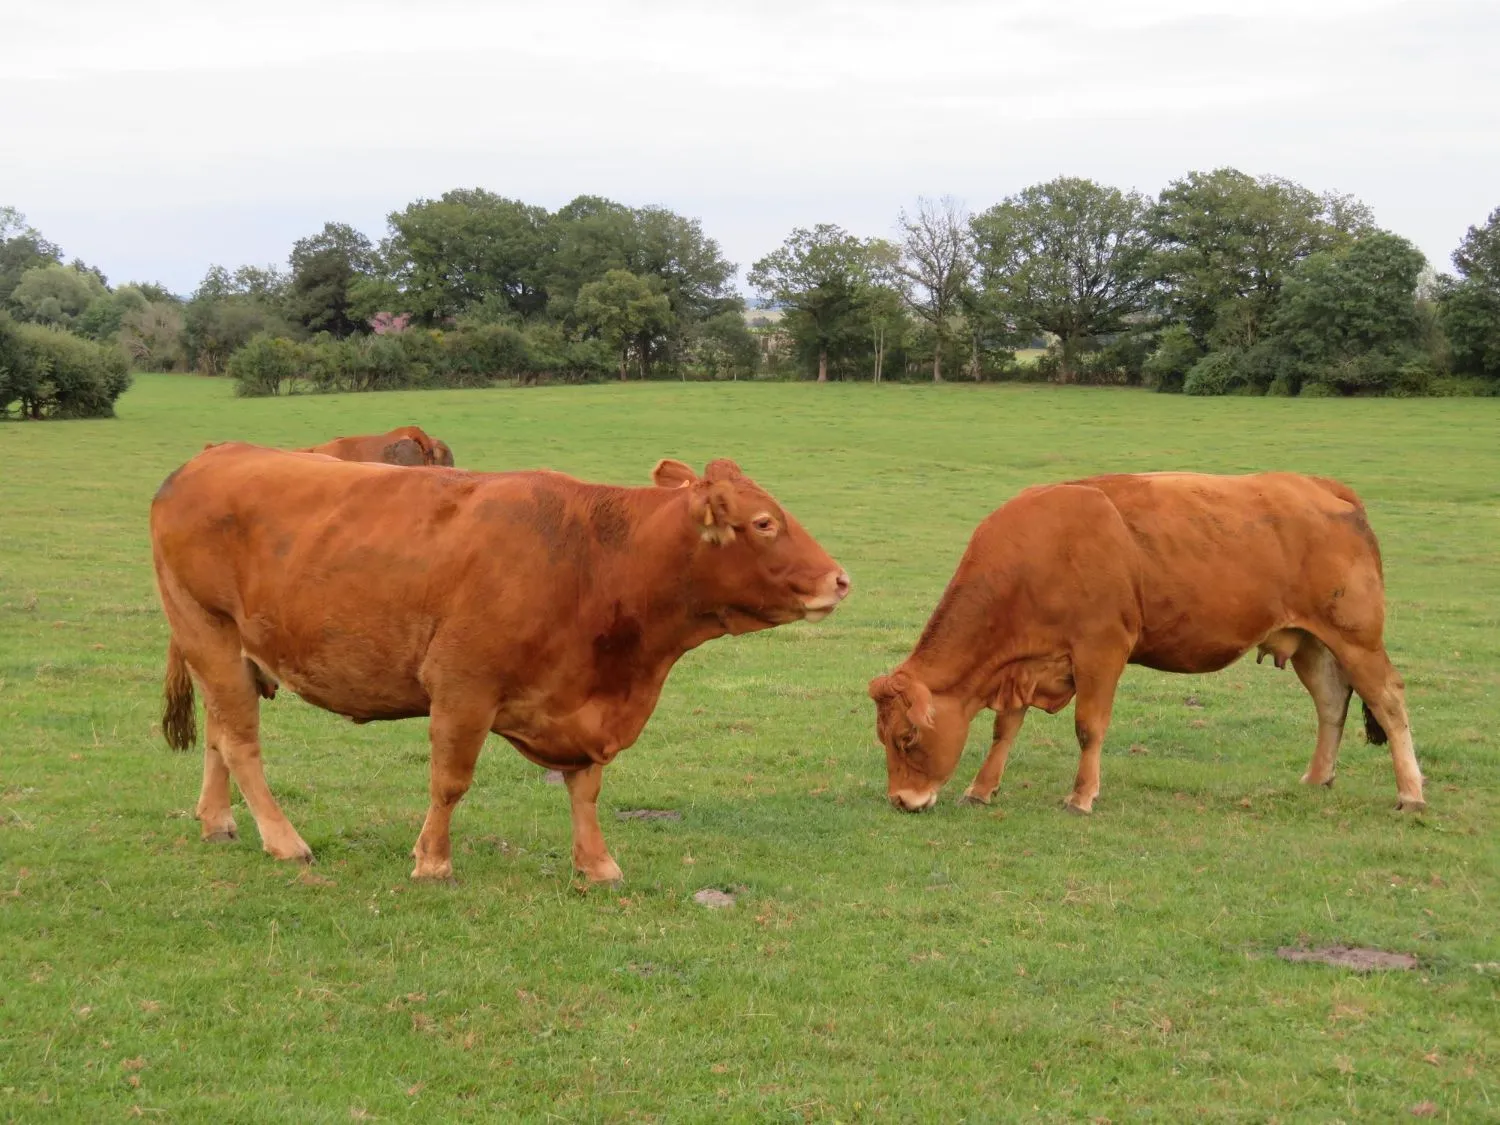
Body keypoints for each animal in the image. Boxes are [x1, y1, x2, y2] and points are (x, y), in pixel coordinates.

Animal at [150, 447, 850, 883]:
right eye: (764, 522)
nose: (840, 580)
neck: (597, 558)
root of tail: (207, 458)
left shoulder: (580, 706)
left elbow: (586, 787)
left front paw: (596, 864)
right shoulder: (463, 688)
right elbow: (450, 781)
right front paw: (432, 861)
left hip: (226, 654)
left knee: (219, 735)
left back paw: (217, 822)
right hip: (207, 631)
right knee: (240, 742)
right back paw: (285, 841)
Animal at [869, 472, 1426, 816]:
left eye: (907, 738)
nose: (901, 800)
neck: (1036, 558)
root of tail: (1318, 485)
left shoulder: (1101, 651)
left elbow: (1089, 727)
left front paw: (1081, 797)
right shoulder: (1023, 666)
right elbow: (1005, 729)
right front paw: (982, 790)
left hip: (1357, 639)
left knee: (1388, 699)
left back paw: (1411, 795)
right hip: (1310, 641)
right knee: (1332, 703)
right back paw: (1317, 778)